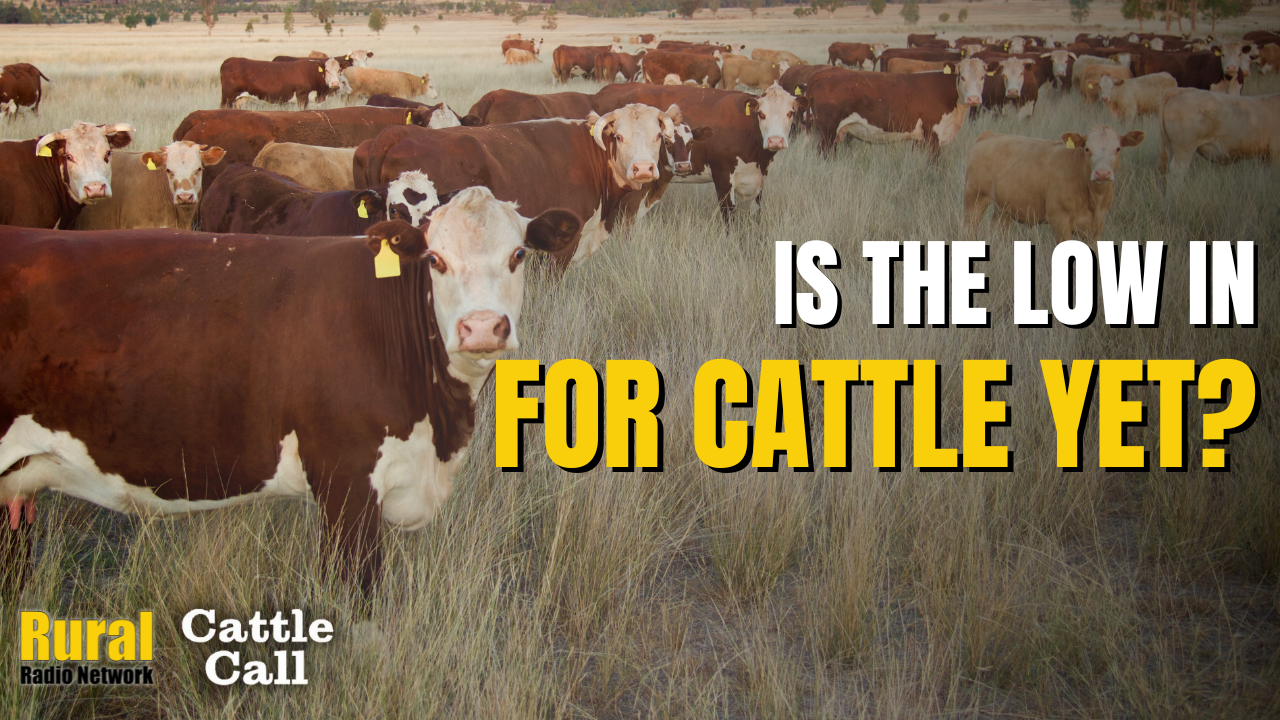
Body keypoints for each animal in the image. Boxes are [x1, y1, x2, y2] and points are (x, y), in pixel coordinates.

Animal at [593, 82, 807, 217]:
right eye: (761, 114)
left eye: (790, 113)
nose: (775, 140)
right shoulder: (722, 176)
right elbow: (730, 218)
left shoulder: (758, 181)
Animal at [807, 58, 985, 154]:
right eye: (961, 76)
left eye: (983, 77)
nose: (973, 98)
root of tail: (823, 74)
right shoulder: (933, 135)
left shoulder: (920, 138)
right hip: (827, 131)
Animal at [964, 126, 1145, 242]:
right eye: (1087, 149)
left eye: (1118, 149)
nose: (1102, 173)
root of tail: (989, 135)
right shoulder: (1060, 222)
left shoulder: (1096, 227)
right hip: (975, 200)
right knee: (970, 231)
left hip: (1003, 209)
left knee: (997, 232)